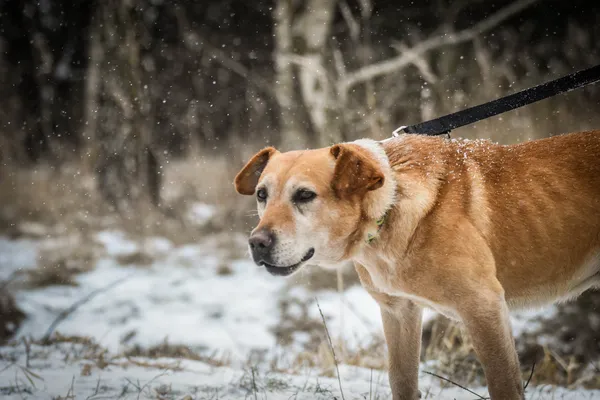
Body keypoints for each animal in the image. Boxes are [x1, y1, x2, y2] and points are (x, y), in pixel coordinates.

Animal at [233, 130, 600, 398]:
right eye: (262, 195)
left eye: (305, 196)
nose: (257, 243)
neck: (390, 204)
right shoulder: (399, 312)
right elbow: (402, 381)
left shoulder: (484, 307)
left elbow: (504, 385)